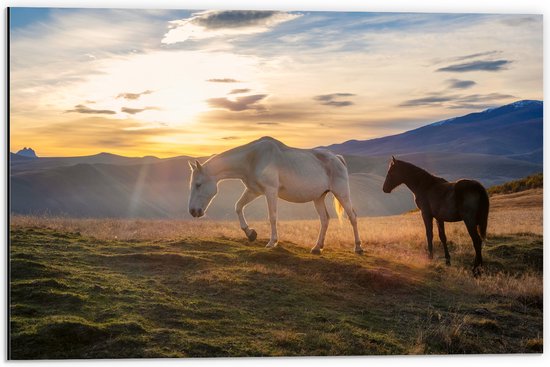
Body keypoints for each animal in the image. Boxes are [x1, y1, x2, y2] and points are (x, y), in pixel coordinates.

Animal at [188, 137, 364, 254]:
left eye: (198, 184)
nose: (193, 211)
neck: (252, 158)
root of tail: (337, 158)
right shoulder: (254, 191)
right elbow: (238, 207)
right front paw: (250, 234)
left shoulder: (270, 191)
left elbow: (272, 216)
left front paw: (272, 242)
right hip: (318, 197)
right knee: (325, 219)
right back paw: (316, 247)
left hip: (341, 193)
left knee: (352, 217)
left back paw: (358, 247)